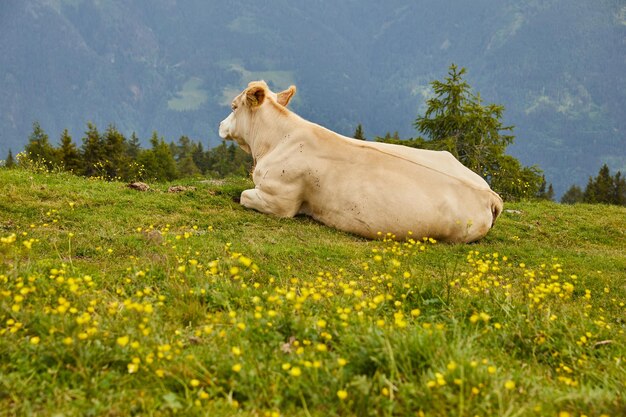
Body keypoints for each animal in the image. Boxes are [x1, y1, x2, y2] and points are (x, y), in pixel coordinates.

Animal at [219, 80, 502, 242]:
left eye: (233, 106)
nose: (220, 125)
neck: (274, 142)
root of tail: (490, 195)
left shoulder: (279, 201)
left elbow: (243, 196)